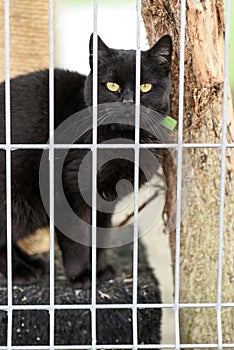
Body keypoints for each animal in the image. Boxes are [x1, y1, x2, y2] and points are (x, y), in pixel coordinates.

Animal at [0, 33, 172, 288]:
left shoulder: (106, 200)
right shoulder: (69, 190)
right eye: (112, 86)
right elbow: (77, 237)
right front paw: (80, 276)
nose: (128, 102)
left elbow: (101, 234)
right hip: (18, 200)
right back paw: (20, 272)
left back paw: (31, 264)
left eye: (145, 87)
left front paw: (99, 271)